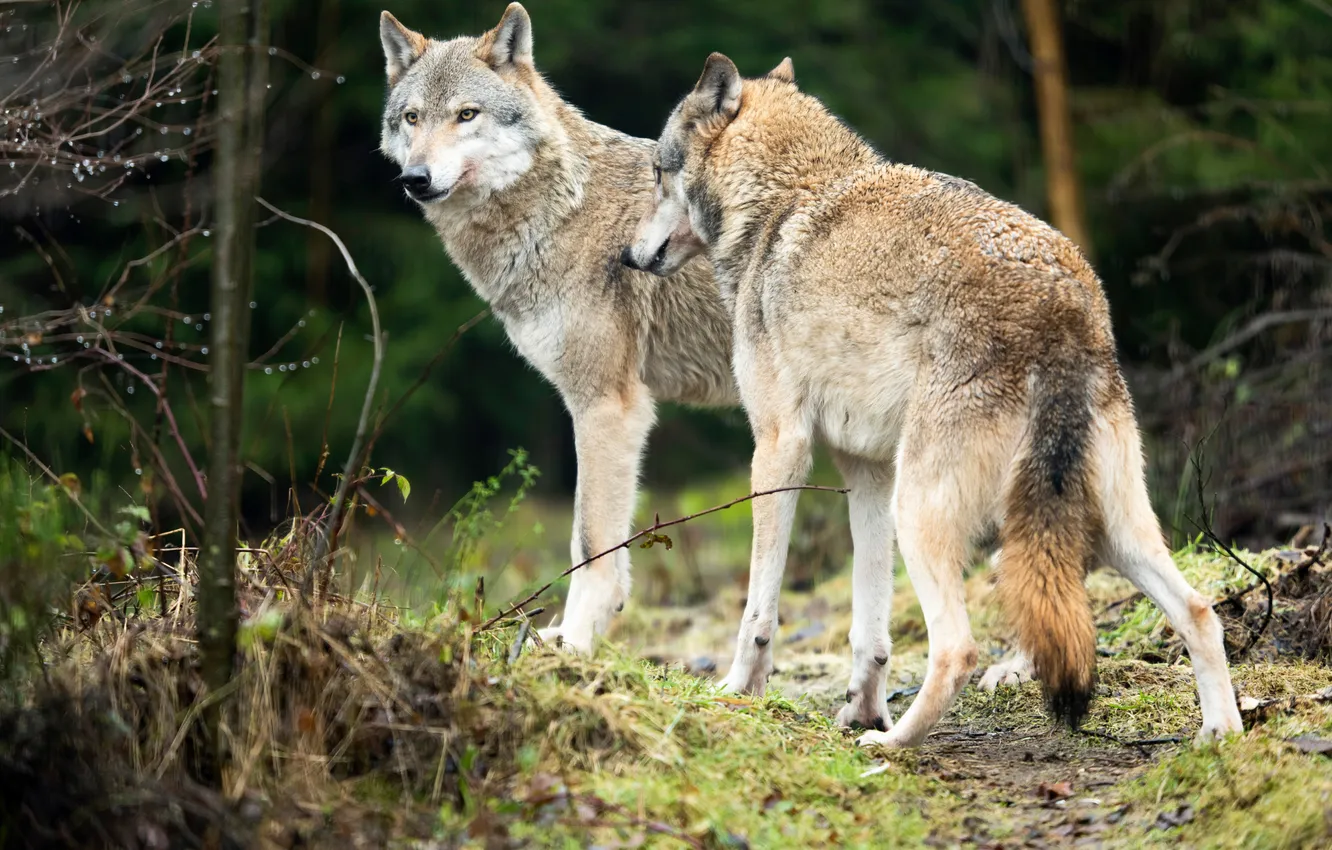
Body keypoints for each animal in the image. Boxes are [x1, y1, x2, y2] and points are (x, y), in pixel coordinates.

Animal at [378, 4, 737, 652]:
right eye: (412, 118)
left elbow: (591, 542)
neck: (560, 210)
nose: (416, 177)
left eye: (466, 114)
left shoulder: (608, 406)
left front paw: (575, 641)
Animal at [622, 54, 1244, 747]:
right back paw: (1220, 738)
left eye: (657, 173)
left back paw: (892, 745)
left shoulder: (780, 450)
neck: (782, 199)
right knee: (1198, 611)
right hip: (1102, 525)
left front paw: (739, 691)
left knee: (957, 649)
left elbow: (759, 609)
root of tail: (1062, 308)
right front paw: (861, 707)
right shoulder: (865, 474)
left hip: (923, 511)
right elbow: (869, 626)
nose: (626, 254)